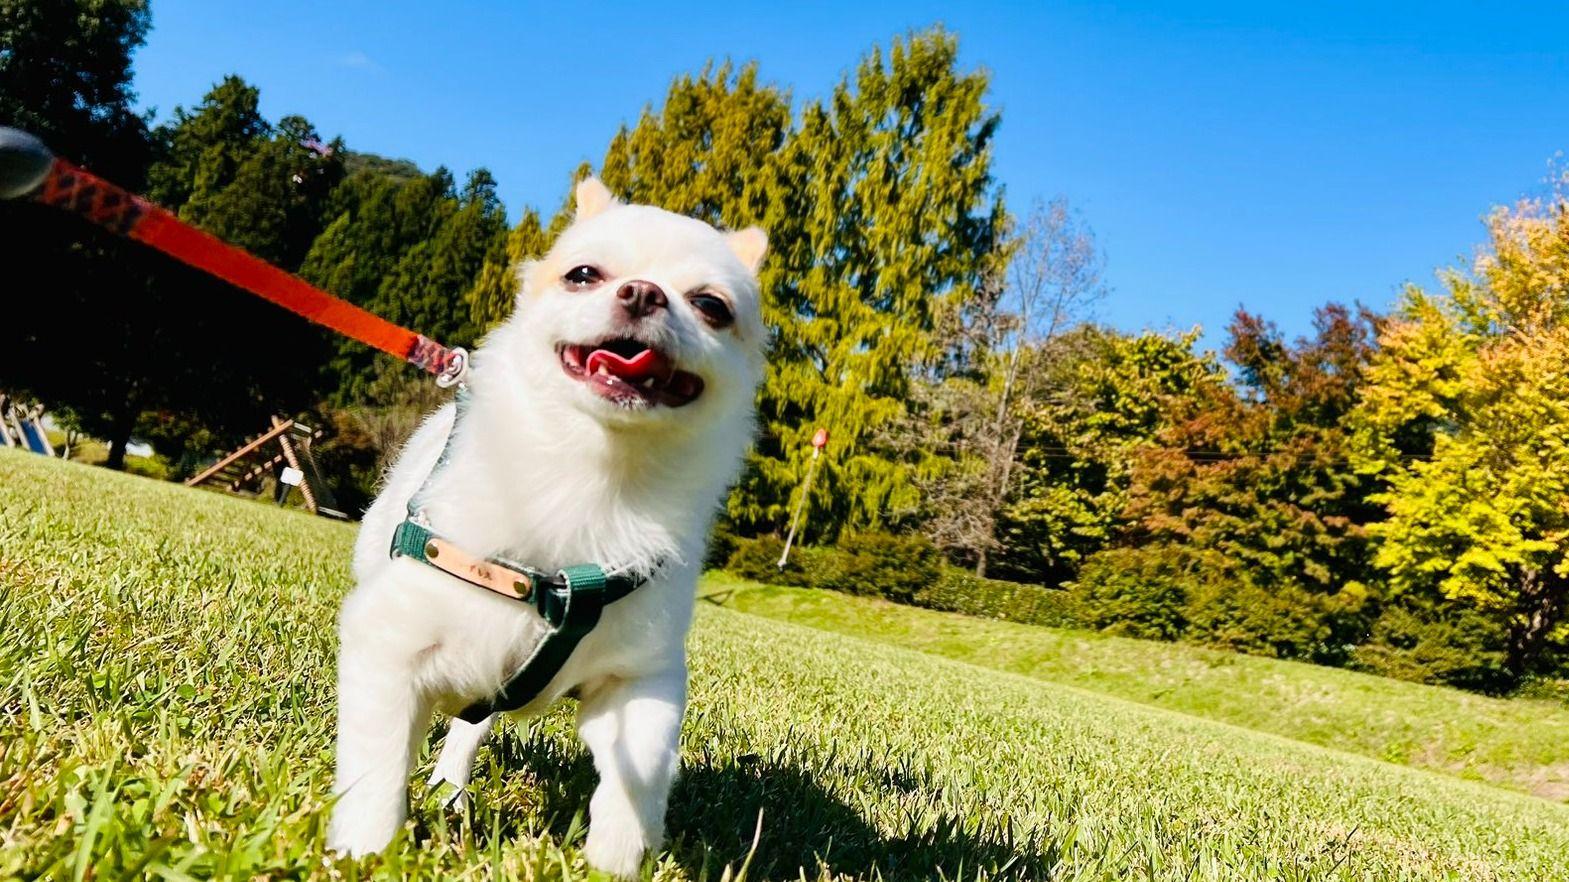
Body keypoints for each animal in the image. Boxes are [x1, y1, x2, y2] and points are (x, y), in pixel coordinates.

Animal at [329, 173, 765, 872]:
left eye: (711, 306)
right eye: (583, 275)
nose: (642, 291)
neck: (593, 480)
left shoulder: (639, 680)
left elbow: (640, 774)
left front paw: (616, 858)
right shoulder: (388, 642)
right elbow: (376, 771)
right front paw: (364, 854)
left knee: (468, 730)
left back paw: (451, 788)